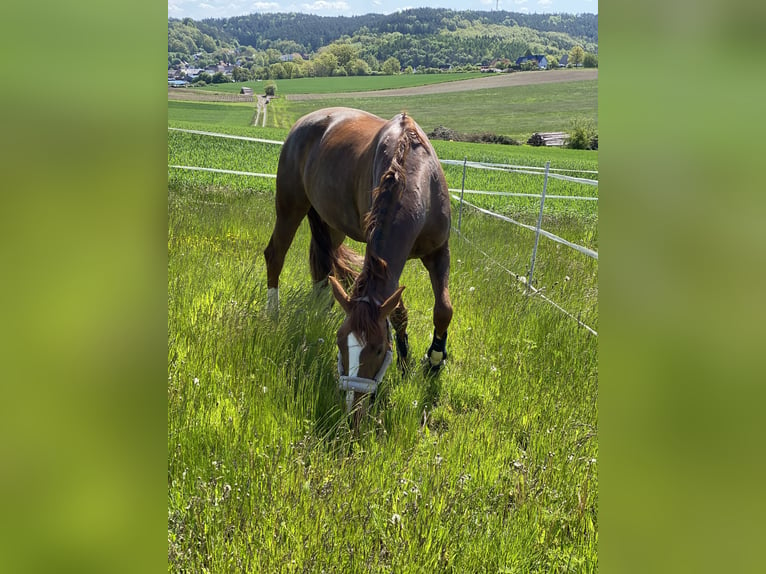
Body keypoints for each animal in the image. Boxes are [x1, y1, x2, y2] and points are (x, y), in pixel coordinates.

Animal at [266, 107, 452, 418]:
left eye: (377, 349)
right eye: (341, 344)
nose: (355, 404)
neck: (417, 175)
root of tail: (304, 122)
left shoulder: (439, 251)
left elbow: (444, 310)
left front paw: (434, 360)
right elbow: (398, 312)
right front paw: (405, 363)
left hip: (330, 225)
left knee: (321, 271)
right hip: (289, 207)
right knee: (275, 255)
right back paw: (272, 315)